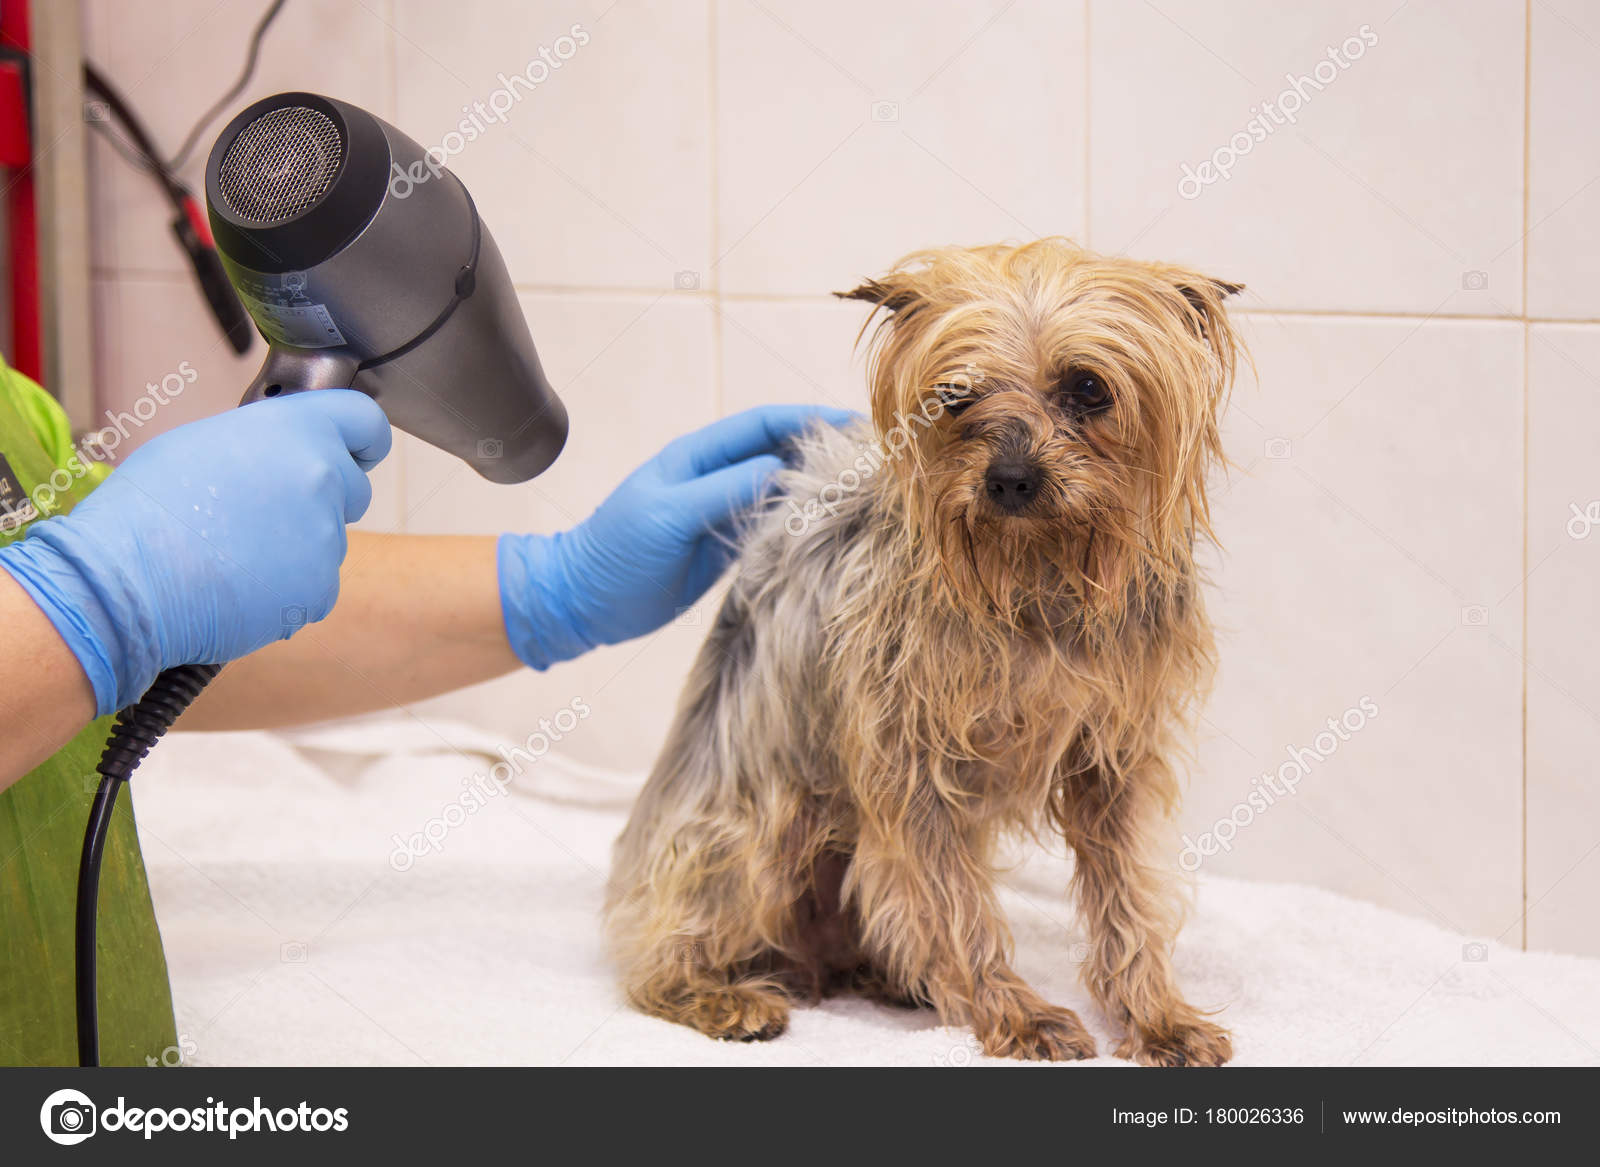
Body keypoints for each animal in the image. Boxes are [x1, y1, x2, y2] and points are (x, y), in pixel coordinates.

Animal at [604, 241, 1241, 1062]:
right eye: (955, 396)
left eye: (1089, 388)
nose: (1010, 478)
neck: (1035, 571)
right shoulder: (909, 760)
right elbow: (954, 898)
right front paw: (1015, 1012)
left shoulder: (1114, 756)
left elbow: (1127, 891)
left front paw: (1155, 1013)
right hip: (753, 823)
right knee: (661, 950)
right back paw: (720, 994)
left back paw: (888, 977)